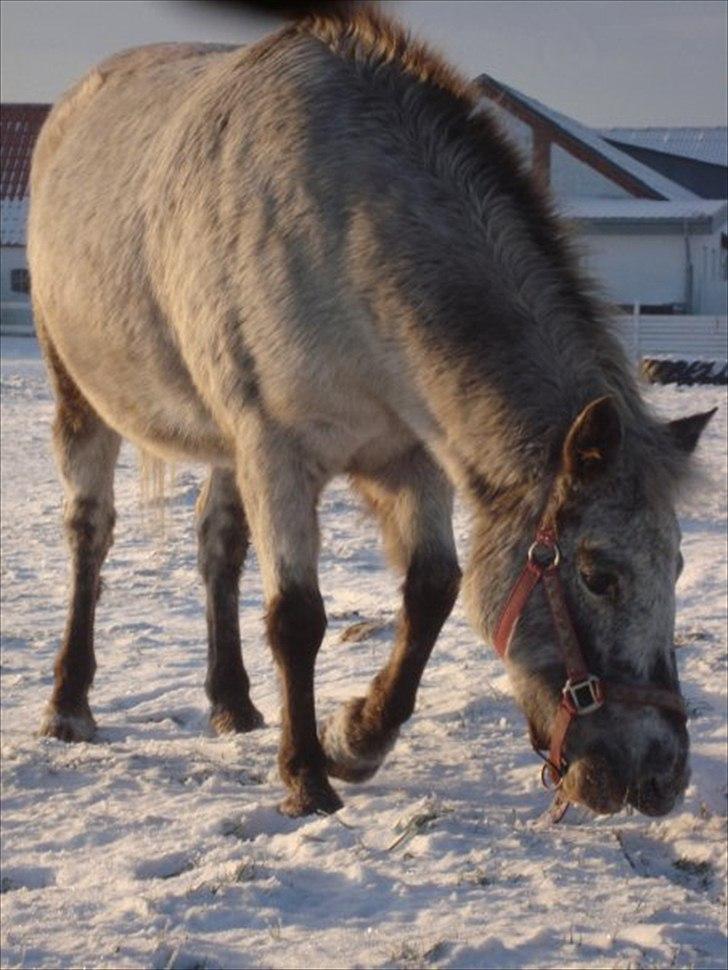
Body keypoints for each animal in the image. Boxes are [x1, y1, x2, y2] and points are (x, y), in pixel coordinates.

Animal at [28, 3, 715, 818]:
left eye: (677, 565)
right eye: (598, 573)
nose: (660, 775)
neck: (343, 230)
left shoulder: (410, 454)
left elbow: (432, 590)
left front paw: (355, 738)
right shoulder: (279, 453)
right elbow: (298, 618)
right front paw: (307, 776)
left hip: (228, 446)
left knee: (217, 544)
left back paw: (232, 702)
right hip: (81, 396)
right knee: (90, 535)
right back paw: (70, 704)